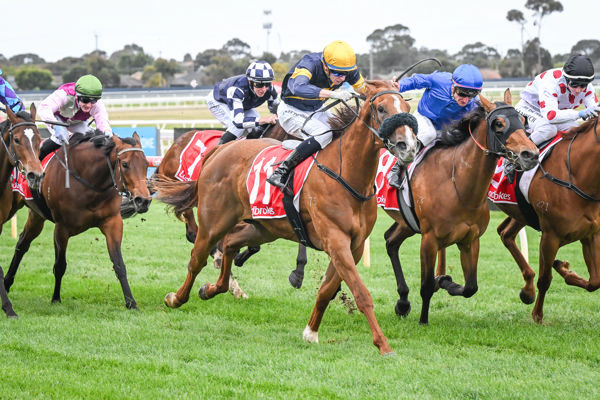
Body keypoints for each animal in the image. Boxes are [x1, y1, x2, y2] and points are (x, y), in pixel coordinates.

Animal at [3, 130, 152, 310]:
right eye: (124, 164)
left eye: (146, 164)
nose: (143, 201)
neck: (88, 180)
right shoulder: (62, 227)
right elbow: (60, 265)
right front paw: (56, 298)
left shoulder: (113, 222)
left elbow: (119, 264)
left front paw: (131, 303)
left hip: (37, 215)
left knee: (22, 244)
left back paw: (7, 283)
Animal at [152, 79, 420, 354]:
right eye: (380, 108)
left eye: (406, 106)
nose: (408, 147)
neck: (345, 173)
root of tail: (219, 150)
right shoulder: (336, 241)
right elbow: (361, 293)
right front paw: (383, 345)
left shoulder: (354, 246)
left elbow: (326, 290)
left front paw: (311, 332)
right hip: (214, 222)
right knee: (197, 258)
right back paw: (176, 298)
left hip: (263, 227)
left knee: (229, 244)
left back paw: (213, 289)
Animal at [384, 90, 540, 324]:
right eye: (499, 123)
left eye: (523, 120)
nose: (531, 154)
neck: (456, 183)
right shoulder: (429, 239)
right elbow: (426, 286)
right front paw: (423, 320)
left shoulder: (470, 239)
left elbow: (470, 287)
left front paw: (445, 281)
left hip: (406, 222)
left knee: (391, 241)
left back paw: (402, 302)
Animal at [496, 117, 600, 324]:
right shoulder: (550, 236)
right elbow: (545, 279)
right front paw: (537, 315)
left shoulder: (590, 234)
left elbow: (595, 281)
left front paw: (563, 267)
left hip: (519, 213)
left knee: (505, 234)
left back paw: (528, 288)